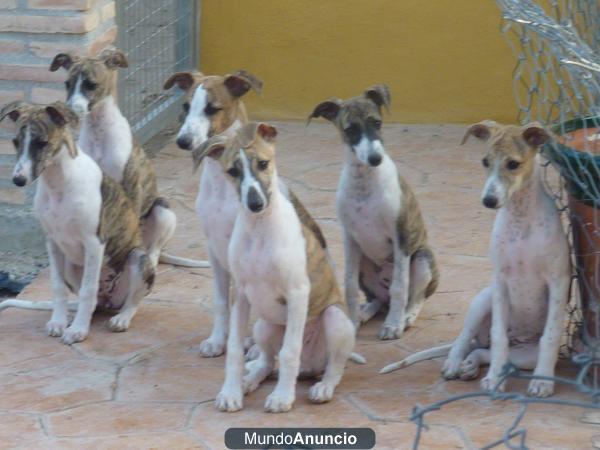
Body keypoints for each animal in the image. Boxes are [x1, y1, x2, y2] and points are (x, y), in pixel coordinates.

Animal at [1, 101, 155, 342]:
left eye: (41, 143)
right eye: (16, 142)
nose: (19, 180)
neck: (58, 183)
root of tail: (108, 302)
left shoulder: (94, 242)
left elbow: (87, 290)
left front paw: (78, 330)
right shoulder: (52, 242)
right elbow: (57, 287)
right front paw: (58, 322)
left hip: (138, 258)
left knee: (132, 300)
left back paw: (121, 318)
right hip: (71, 267)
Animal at [48, 49, 202, 268]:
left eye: (91, 85)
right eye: (67, 84)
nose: (68, 113)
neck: (99, 132)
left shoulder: (131, 186)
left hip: (163, 210)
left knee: (153, 249)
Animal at [163, 68, 264, 356]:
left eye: (212, 108)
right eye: (186, 106)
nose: (183, 141)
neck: (222, 185)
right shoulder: (214, 249)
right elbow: (221, 301)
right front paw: (219, 340)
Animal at [312, 87, 438, 342]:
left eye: (377, 123)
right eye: (350, 130)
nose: (375, 159)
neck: (365, 180)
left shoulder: (401, 236)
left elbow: (400, 286)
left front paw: (393, 326)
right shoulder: (350, 239)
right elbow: (349, 285)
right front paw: (351, 321)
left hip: (422, 258)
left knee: (414, 297)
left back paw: (406, 317)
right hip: (364, 265)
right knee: (378, 299)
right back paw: (364, 312)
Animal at [380, 120, 572, 398]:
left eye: (513, 164)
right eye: (485, 161)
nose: (489, 200)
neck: (520, 219)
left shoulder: (558, 281)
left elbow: (550, 336)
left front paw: (542, 381)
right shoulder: (501, 281)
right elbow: (499, 335)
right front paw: (494, 379)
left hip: (526, 354)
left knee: (484, 351)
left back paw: (471, 365)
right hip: (483, 299)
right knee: (468, 341)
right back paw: (455, 363)